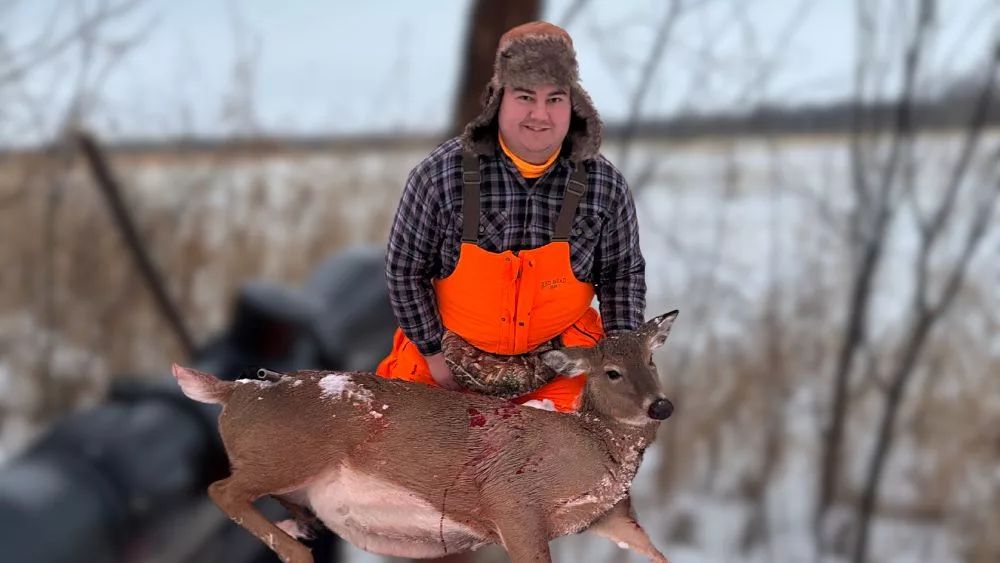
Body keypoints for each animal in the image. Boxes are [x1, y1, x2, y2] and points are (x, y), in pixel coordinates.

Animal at [174, 310, 680, 560]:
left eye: (651, 360)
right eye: (612, 372)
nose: (662, 405)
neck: (588, 447)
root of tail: (232, 391)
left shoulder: (608, 517)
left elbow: (658, 553)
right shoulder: (512, 502)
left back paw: (303, 526)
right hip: (289, 452)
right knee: (221, 490)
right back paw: (298, 552)